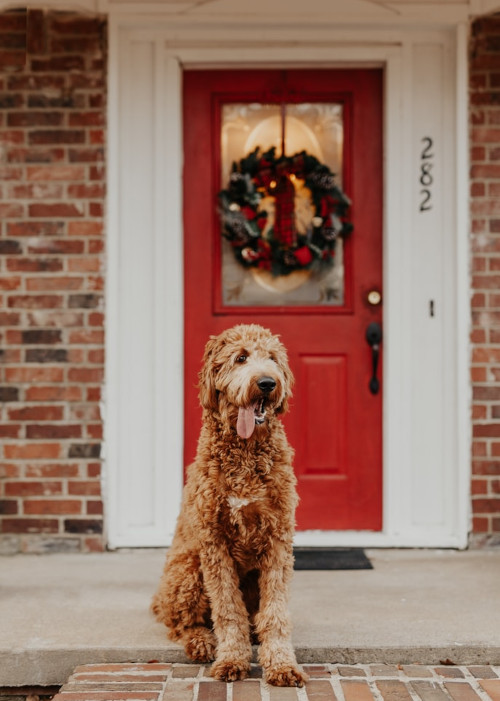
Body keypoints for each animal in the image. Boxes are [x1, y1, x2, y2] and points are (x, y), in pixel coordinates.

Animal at [151, 326, 308, 688]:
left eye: (273, 358)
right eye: (241, 358)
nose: (267, 383)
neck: (246, 451)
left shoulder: (278, 539)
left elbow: (275, 612)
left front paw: (281, 664)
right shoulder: (214, 543)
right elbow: (226, 609)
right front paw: (232, 659)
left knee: (255, 616)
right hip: (188, 572)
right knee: (181, 624)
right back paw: (201, 641)